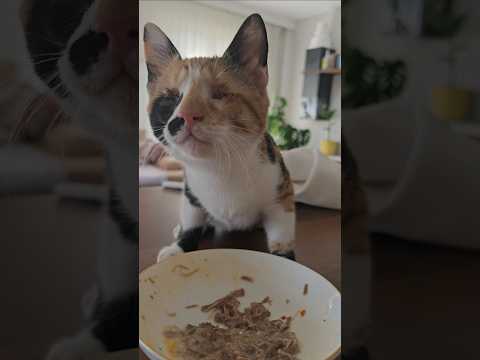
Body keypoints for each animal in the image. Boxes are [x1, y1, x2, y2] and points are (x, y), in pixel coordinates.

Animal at [144, 14, 296, 262]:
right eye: (171, 99)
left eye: (219, 94)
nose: (186, 116)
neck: (219, 170)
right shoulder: (191, 193)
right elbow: (191, 221)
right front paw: (180, 246)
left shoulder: (282, 194)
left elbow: (282, 231)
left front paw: (285, 260)